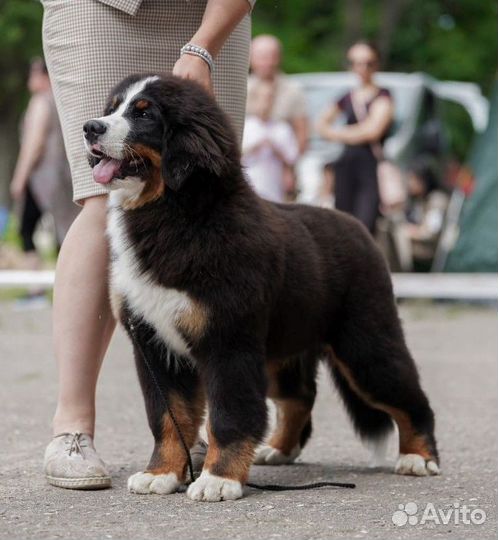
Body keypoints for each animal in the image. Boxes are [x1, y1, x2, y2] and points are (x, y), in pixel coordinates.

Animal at [82, 75, 440, 502]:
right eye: (112, 107)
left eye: (144, 113)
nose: (90, 127)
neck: (175, 215)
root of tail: (358, 226)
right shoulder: (155, 346)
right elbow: (168, 417)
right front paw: (161, 473)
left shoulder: (229, 342)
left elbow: (229, 415)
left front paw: (218, 479)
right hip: (281, 349)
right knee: (299, 397)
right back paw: (280, 450)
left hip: (364, 344)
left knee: (408, 394)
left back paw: (419, 457)